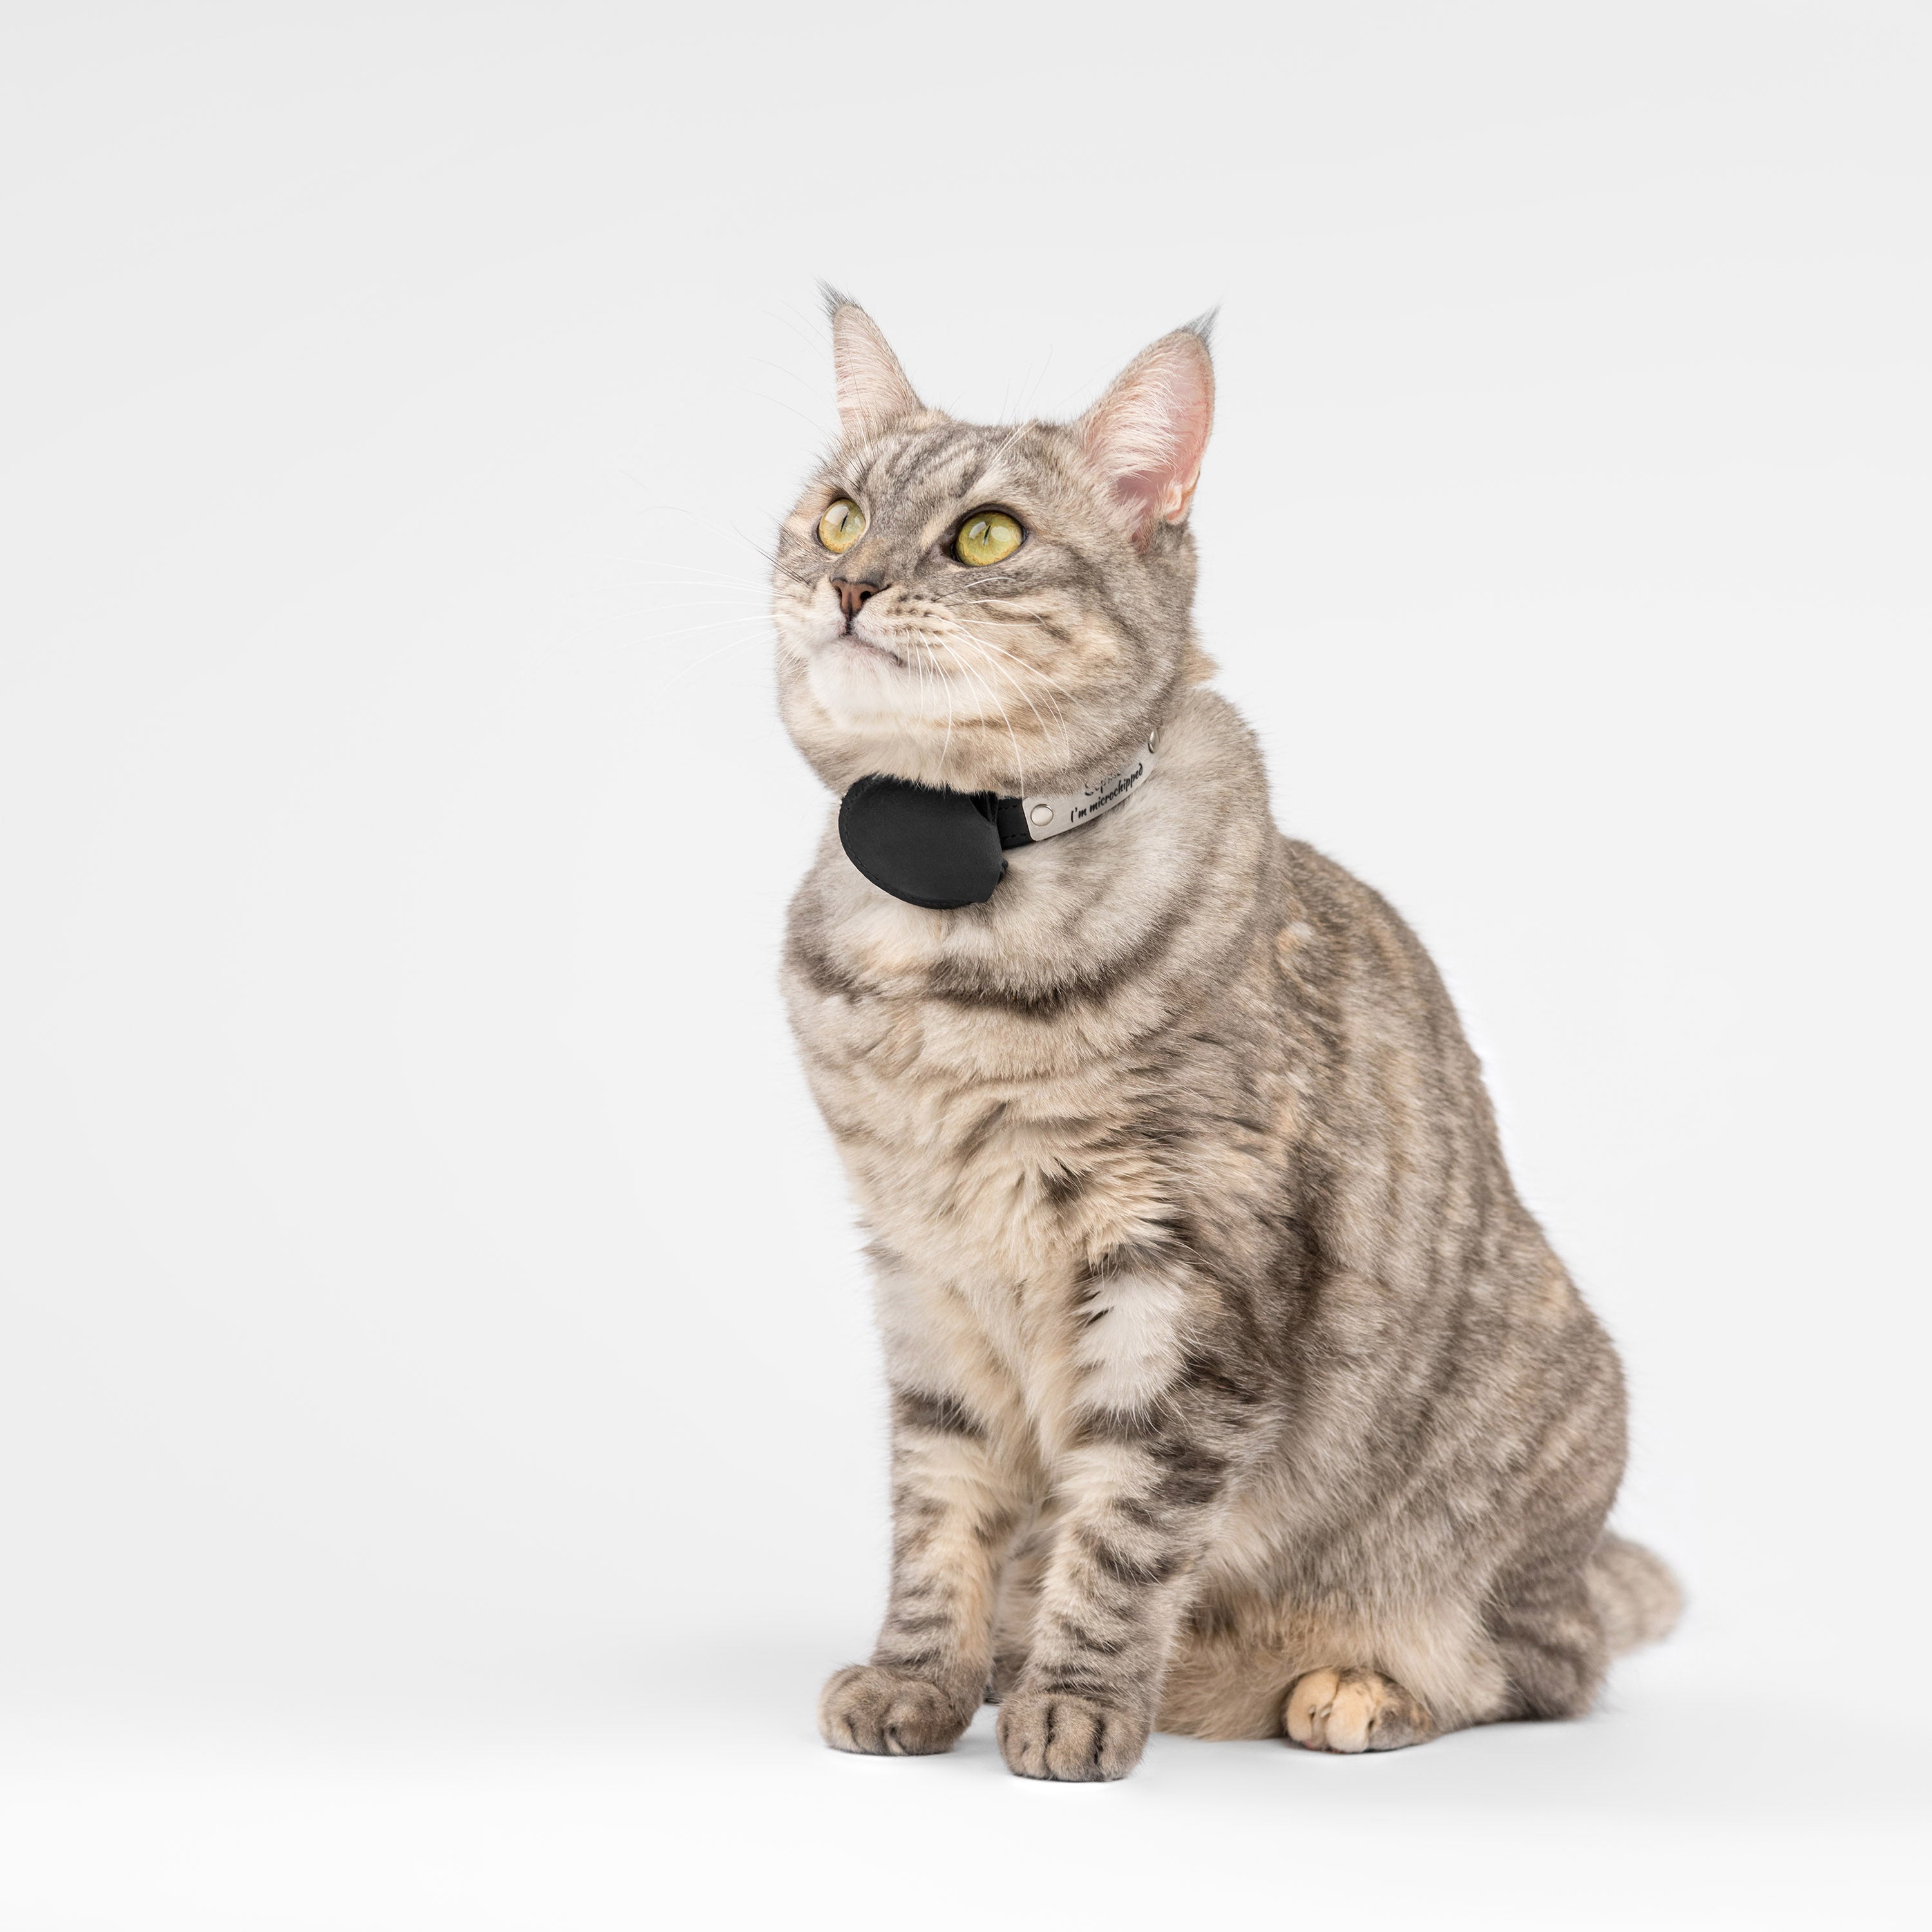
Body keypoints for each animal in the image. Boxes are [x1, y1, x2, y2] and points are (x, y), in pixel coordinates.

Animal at [773, 294, 1679, 1781]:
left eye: (986, 537)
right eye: (839, 516)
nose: (847, 585)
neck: (948, 937)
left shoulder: (1186, 1277)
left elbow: (1124, 1523)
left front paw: (1077, 1703)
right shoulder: (923, 1273)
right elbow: (939, 1502)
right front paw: (919, 1677)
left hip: (1527, 1456)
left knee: (1544, 1666)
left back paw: (1354, 1687)